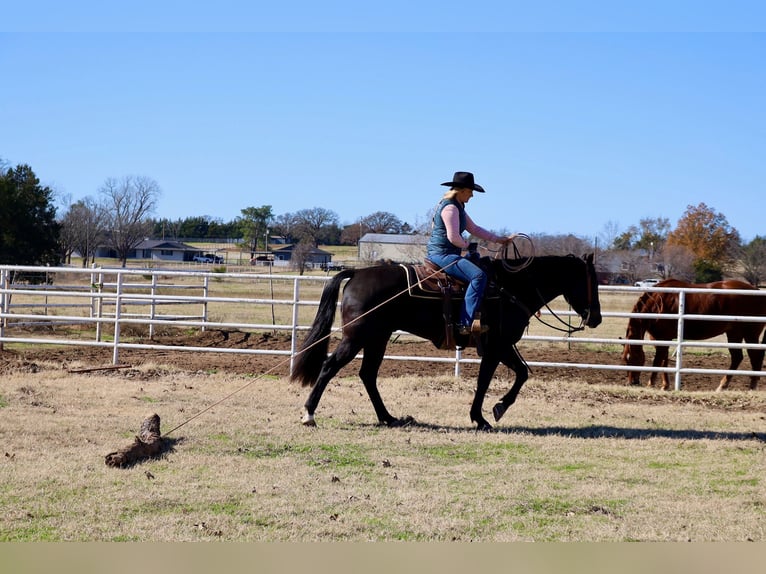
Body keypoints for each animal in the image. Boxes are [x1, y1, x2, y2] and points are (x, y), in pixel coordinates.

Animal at [292, 254, 604, 430]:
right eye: (592, 281)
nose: (597, 318)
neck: (511, 288)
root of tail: (357, 272)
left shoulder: (502, 347)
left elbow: (522, 373)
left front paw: (498, 408)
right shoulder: (497, 347)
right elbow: (486, 381)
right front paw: (483, 417)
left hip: (377, 339)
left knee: (368, 375)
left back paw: (388, 417)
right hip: (356, 337)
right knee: (329, 367)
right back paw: (309, 414)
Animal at [624, 280, 766, 392]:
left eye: (632, 357)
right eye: (625, 359)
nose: (632, 382)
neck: (658, 302)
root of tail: (757, 292)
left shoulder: (663, 338)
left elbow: (657, 361)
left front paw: (651, 384)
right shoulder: (660, 339)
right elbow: (664, 361)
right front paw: (665, 385)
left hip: (750, 334)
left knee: (755, 356)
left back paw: (752, 385)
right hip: (734, 334)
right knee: (737, 357)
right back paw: (723, 385)